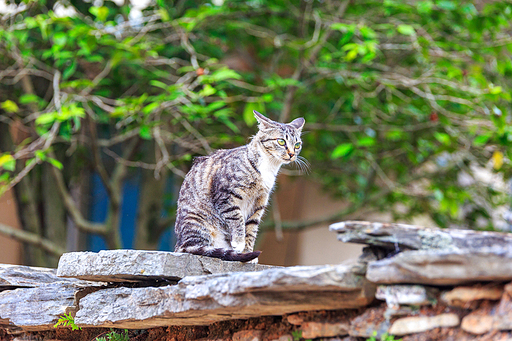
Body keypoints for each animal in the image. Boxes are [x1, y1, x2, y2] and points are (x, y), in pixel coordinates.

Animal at [174, 110, 306, 262]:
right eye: (281, 141)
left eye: (297, 144)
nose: (291, 154)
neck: (268, 167)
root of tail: (179, 244)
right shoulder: (224, 195)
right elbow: (237, 218)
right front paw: (239, 242)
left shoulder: (259, 203)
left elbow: (251, 229)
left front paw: (247, 252)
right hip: (197, 224)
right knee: (193, 248)